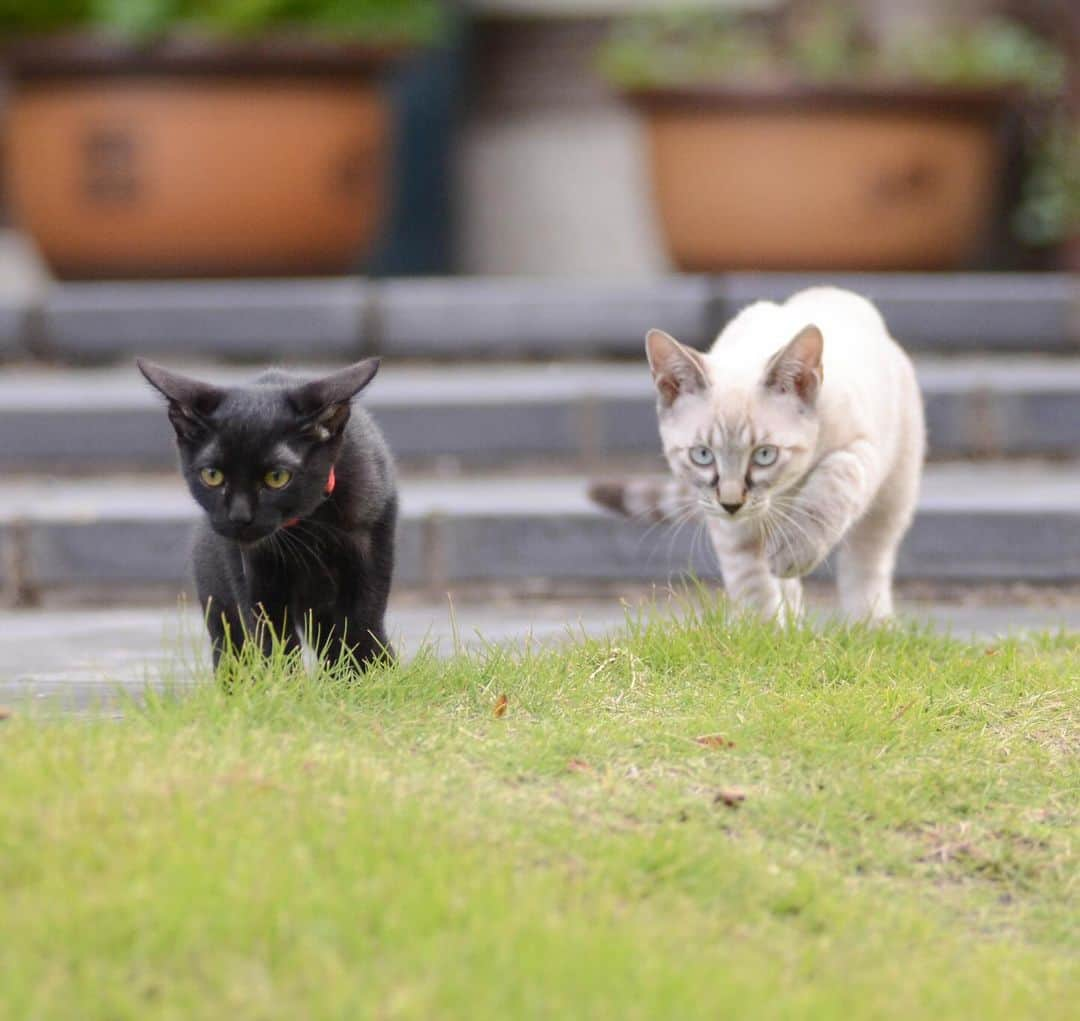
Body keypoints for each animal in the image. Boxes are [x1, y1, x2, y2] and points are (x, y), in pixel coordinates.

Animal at [139, 358, 397, 669]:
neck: (307, 527)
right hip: (221, 609)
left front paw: (370, 673)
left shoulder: (370, 544)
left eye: (277, 477)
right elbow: (275, 641)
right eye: (212, 475)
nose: (239, 516)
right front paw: (285, 681)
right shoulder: (258, 572)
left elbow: (362, 623)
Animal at [596, 287, 924, 622]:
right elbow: (751, 580)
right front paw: (761, 631)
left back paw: (871, 622)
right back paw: (794, 620)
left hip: (894, 490)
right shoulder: (727, 521)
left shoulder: (862, 446)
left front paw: (795, 551)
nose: (731, 503)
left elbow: (833, 480)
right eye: (702, 455)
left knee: (867, 560)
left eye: (765, 455)